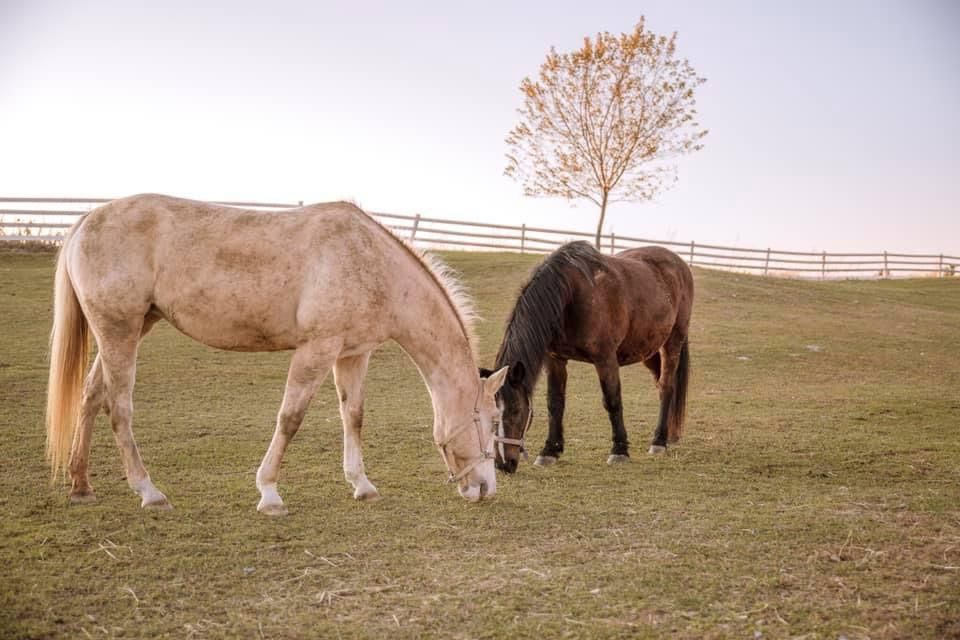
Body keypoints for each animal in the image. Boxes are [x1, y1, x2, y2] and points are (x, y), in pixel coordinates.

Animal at [45, 192, 506, 512]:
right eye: (491, 419)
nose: (486, 488)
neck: (372, 264)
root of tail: (86, 220)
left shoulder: (352, 355)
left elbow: (353, 417)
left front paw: (362, 485)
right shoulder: (316, 350)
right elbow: (290, 418)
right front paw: (269, 493)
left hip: (130, 329)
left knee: (91, 396)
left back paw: (80, 484)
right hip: (118, 331)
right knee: (119, 408)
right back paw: (148, 491)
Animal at [484, 242, 692, 472]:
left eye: (516, 411)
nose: (504, 464)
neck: (571, 294)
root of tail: (679, 263)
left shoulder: (606, 359)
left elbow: (612, 401)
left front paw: (619, 450)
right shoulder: (555, 360)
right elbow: (555, 403)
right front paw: (550, 450)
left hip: (672, 342)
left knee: (666, 387)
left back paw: (659, 441)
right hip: (649, 350)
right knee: (661, 383)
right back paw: (669, 434)